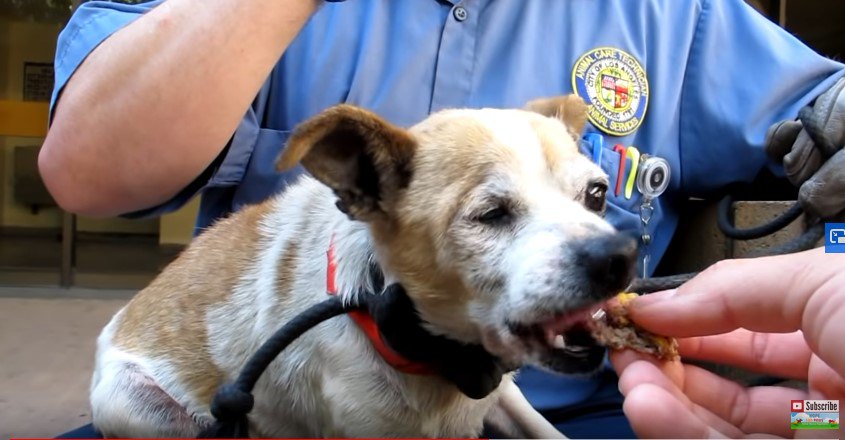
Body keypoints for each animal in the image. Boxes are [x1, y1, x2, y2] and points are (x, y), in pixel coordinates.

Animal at [89, 94, 636, 438]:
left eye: (596, 194)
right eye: (491, 215)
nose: (619, 258)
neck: (442, 362)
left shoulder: (505, 397)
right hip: (138, 408)